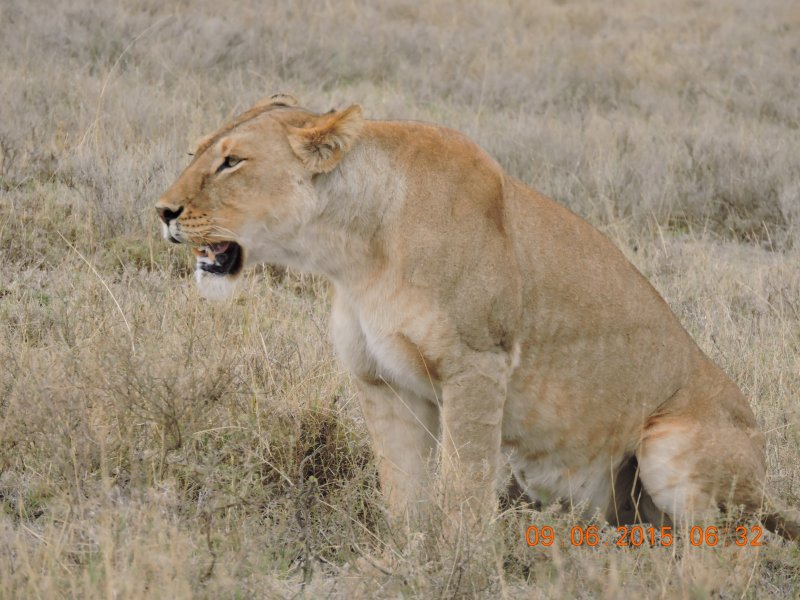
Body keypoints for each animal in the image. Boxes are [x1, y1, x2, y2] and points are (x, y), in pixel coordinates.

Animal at [155, 94, 799, 540]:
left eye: (232, 162)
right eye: (195, 154)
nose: (162, 211)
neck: (354, 253)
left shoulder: (475, 367)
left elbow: (463, 483)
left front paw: (460, 561)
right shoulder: (381, 382)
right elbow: (403, 490)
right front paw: (407, 555)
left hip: (671, 447)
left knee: (728, 543)